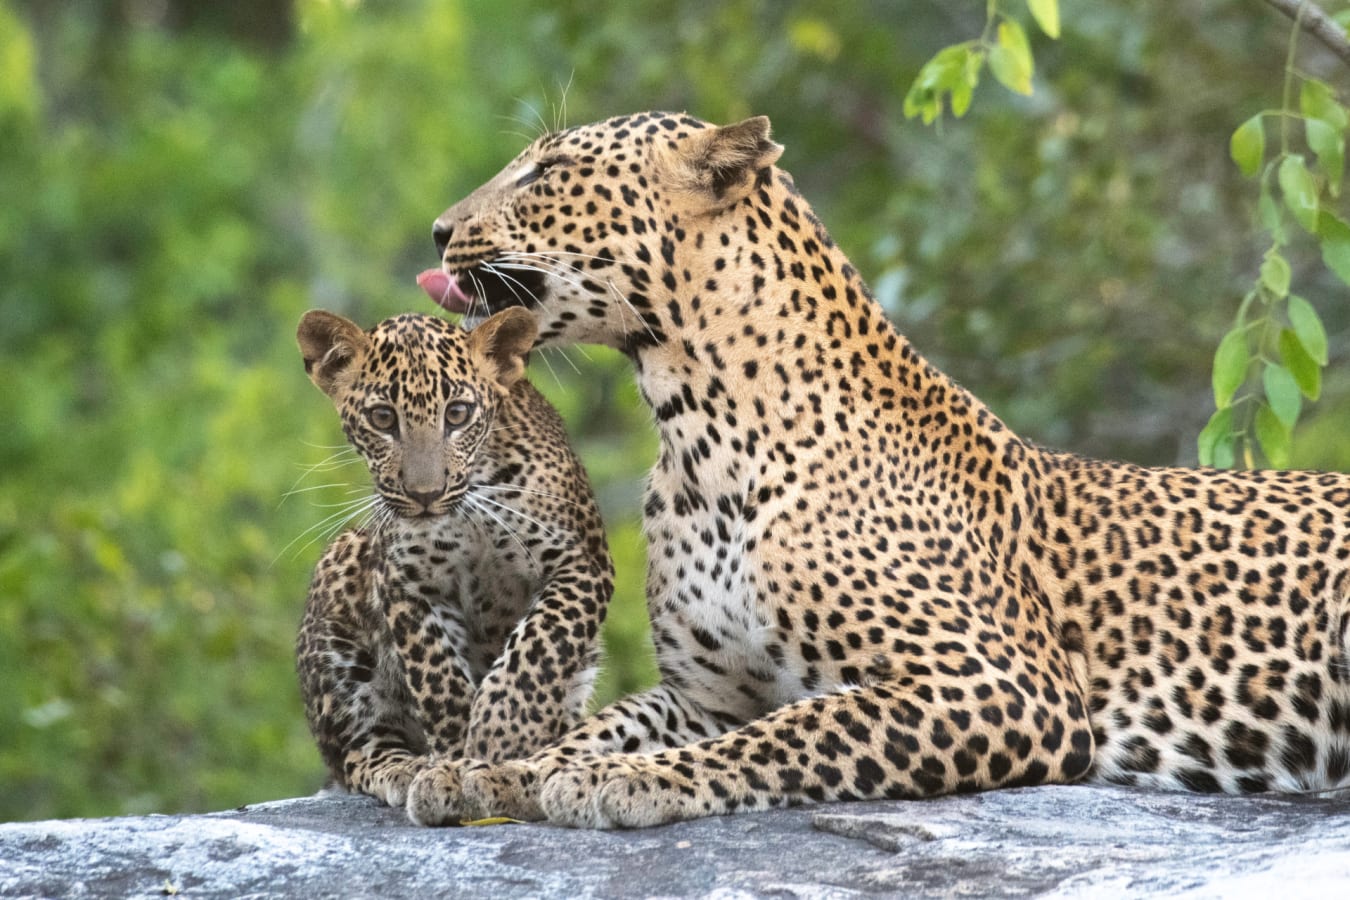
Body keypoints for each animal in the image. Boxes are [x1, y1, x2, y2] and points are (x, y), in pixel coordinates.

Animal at [294, 305, 613, 808]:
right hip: (341, 578)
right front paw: (455, 762)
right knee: (357, 753)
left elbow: (539, 644)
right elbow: (438, 676)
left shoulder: (582, 562)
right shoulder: (405, 582)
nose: (425, 495)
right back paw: (406, 768)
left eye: (458, 414)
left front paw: (503, 734)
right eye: (382, 418)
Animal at [405, 111, 1350, 829]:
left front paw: (628, 781)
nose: (440, 232)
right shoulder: (710, 692)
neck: (697, 436)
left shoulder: (1005, 684)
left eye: (548, 171)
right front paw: (493, 771)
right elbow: (603, 725)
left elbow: (795, 731)